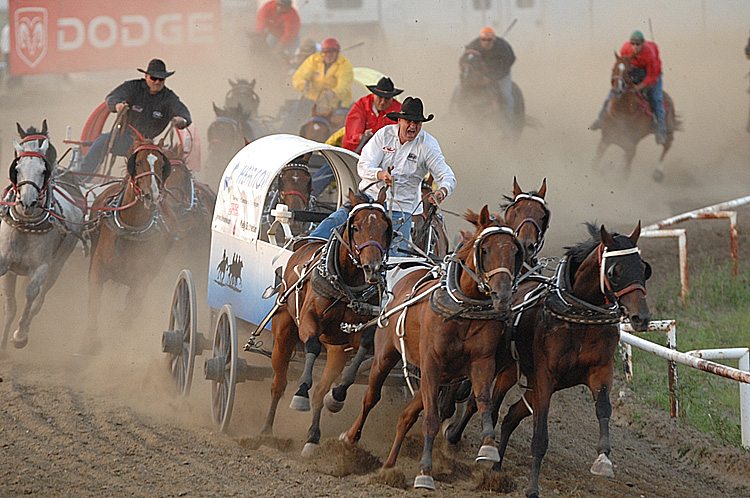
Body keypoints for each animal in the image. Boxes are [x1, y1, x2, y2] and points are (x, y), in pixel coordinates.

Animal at [0, 136, 85, 350]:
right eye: (17, 168)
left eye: (42, 170)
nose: (27, 203)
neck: (25, 225)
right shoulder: (6, 263)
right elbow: (10, 305)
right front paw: (3, 343)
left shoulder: (42, 267)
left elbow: (31, 293)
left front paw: (20, 335)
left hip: (58, 265)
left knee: (40, 299)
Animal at [85, 138, 175, 352]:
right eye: (138, 162)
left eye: (162, 165)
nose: (152, 196)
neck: (131, 228)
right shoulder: (98, 269)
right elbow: (95, 302)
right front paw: (90, 341)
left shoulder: (142, 279)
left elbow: (131, 309)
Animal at [262, 188, 394, 460]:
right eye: (356, 227)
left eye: (386, 228)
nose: (373, 267)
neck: (346, 286)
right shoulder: (308, 321)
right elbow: (312, 346)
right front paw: (300, 393)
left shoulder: (356, 331)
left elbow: (364, 348)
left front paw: (338, 395)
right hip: (283, 332)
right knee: (278, 382)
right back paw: (267, 431)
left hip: (335, 350)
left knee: (321, 391)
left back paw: (313, 437)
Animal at [340, 206, 524, 490]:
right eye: (485, 250)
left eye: (515, 251)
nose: (502, 295)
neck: (462, 310)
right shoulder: (432, 366)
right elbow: (431, 420)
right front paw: (425, 471)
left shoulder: (481, 362)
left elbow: (483, 402)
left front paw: (488, 448)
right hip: (387, 357)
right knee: (371, 397)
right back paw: (350, 438)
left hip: (436, 378)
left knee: (406, 416)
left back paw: (389, 467)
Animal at [600, 53, 680, 182]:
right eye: (614, 68)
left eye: (629, 71)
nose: (618, 89)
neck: (623, 113)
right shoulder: (606, 138)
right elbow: (595, 163)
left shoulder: (631, 147)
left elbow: (625, 174)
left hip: (667, 130)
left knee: (667, 144)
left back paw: (658, 173)